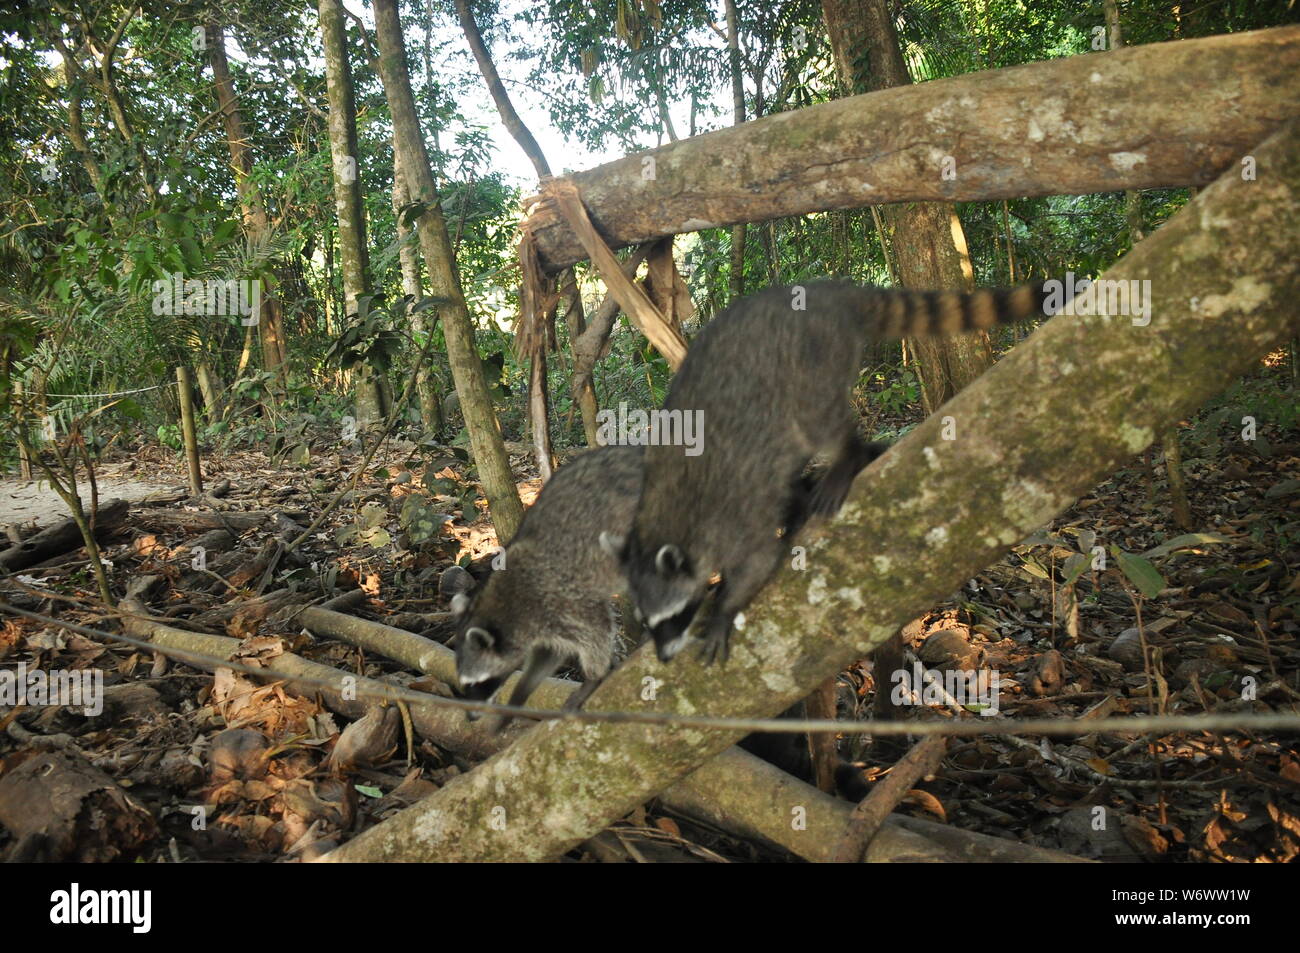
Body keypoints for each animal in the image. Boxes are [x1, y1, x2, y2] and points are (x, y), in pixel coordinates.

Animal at [441, 442, 644, 722]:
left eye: (478, 683)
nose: (470, 717)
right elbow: (548, 656)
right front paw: (519, 695)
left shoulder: (561, 598)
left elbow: (597, 630)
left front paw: (595, 675)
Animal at [603, 278, 1050, 665]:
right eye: (648, 623)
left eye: (674, 617)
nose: (663, 657)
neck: (668, 524)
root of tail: (828, 293)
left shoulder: (731, 520)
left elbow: (758, 561)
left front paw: (724, 611)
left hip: (814, 357)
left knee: (816, 420)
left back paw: (847, 458)